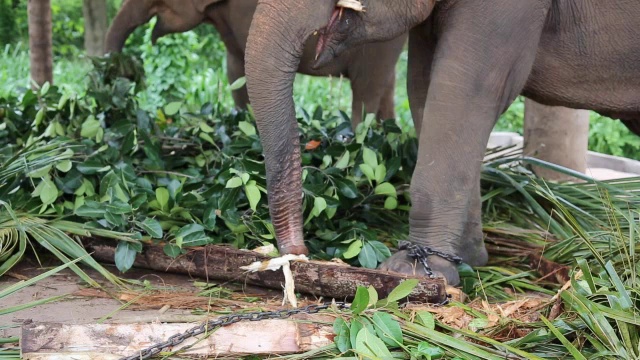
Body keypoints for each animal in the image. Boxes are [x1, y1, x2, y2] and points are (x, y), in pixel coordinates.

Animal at [104, 0, 404, 125]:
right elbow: (235, 68)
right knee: (385, 87)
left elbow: (245, 67)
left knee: (365, 91)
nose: (119, 71)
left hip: (377, 45)